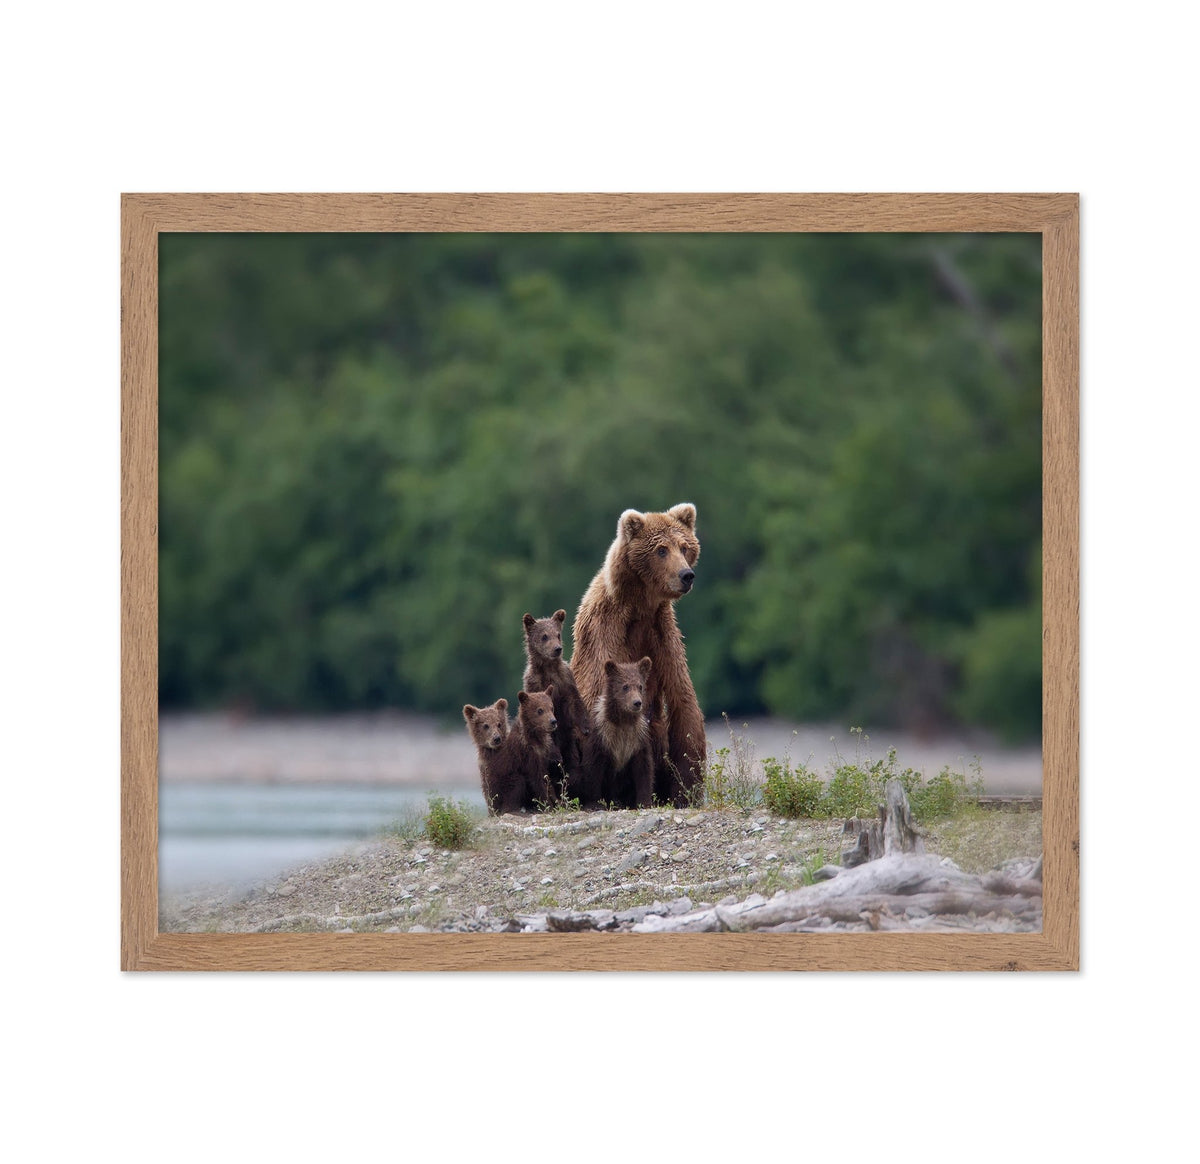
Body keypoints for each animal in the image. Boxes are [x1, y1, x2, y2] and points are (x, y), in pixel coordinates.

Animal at [522, 609, 590, 790]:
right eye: (544, 636)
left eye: (558, 634)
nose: (557, 649)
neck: (548, 668)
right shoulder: (534, 684)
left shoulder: (565, 680)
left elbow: (574, 702)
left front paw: (586, 727)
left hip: (569, 744)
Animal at [579, 657, 655, 810]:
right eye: (625, 686)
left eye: (640, 686)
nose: (637, 703)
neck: (623, 722)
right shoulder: (602, 735)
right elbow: (593, 768)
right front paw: (594, 803)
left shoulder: (638, 738)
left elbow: (644, 769)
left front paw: (644, 802)